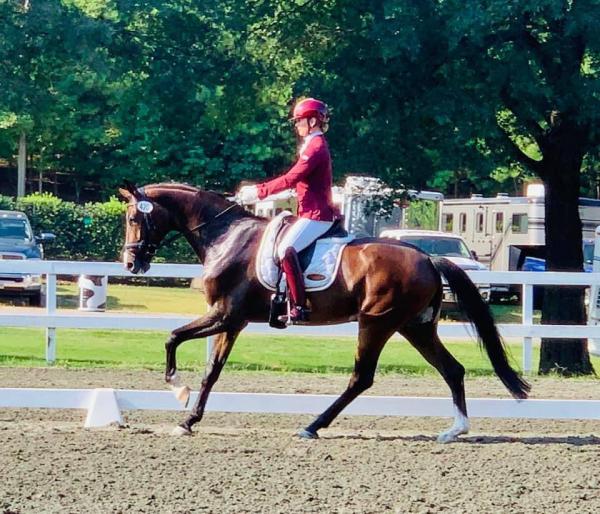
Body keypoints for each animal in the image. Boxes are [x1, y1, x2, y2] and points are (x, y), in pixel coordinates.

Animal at [118, 180, 528, 440]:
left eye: (134, 218)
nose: (131, 264)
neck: (227, 237)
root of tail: (428, 257)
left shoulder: (224, 315)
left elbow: (173, 338)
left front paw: (178, 389)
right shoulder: (232, 323)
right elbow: (211, 372)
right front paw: (188, 420)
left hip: (376, 323)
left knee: (361, 378)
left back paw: (312, 426)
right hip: (415, 326)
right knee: (452, 369)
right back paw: (455, 429)